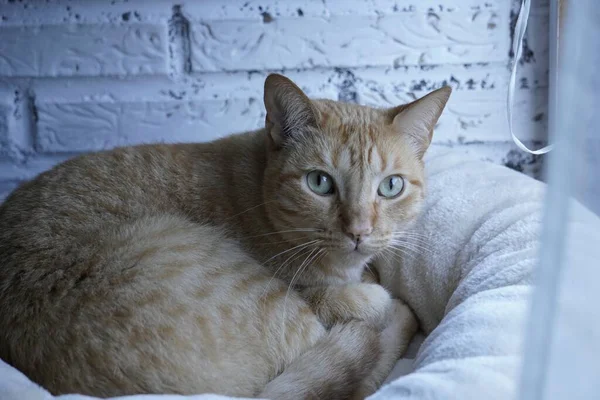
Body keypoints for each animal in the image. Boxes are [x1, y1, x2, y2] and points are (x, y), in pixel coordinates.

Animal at [0, 73, 450, 398]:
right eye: (319, 182)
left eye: (390, 186)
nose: (359, 230)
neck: (261, 200)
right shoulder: (305, 297)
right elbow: (352, 302)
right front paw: (370, 294)